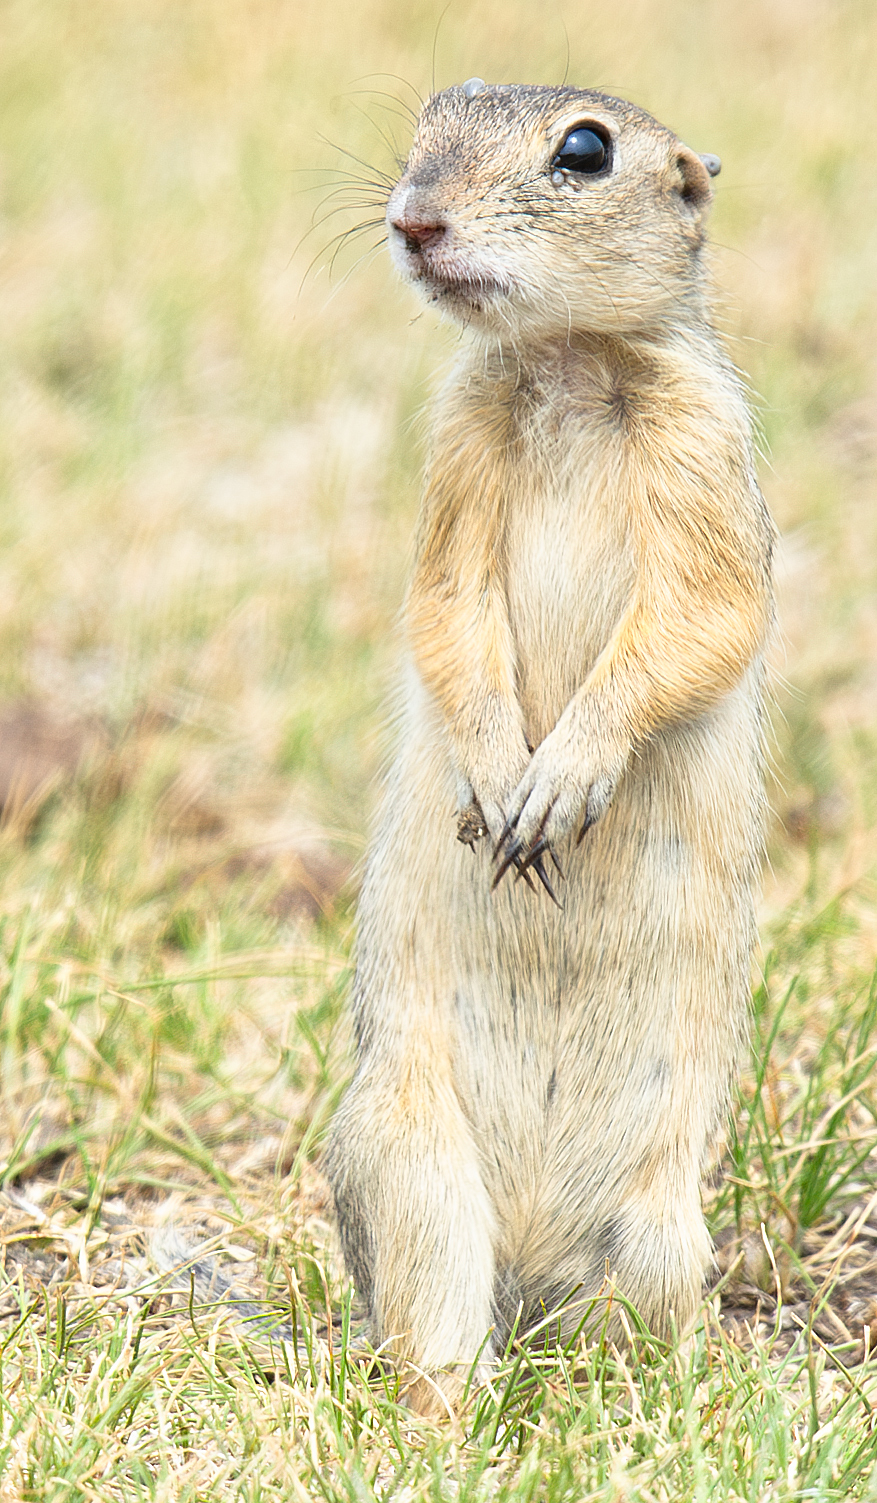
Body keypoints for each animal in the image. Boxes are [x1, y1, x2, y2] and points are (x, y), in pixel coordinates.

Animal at [327, 79, 776, 1418]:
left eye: (584, 150)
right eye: (433, 113)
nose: (412, 218)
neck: (570, 364)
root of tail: (529, 1275)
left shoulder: (703, 450)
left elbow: (704, 612)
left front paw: (559, 780)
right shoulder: (457, 448)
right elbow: (444, 611)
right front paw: (498, 781)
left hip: (661, 1234)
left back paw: (660, 1400)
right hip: (411, 1165)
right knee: (437, 1329)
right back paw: (444, 1416)